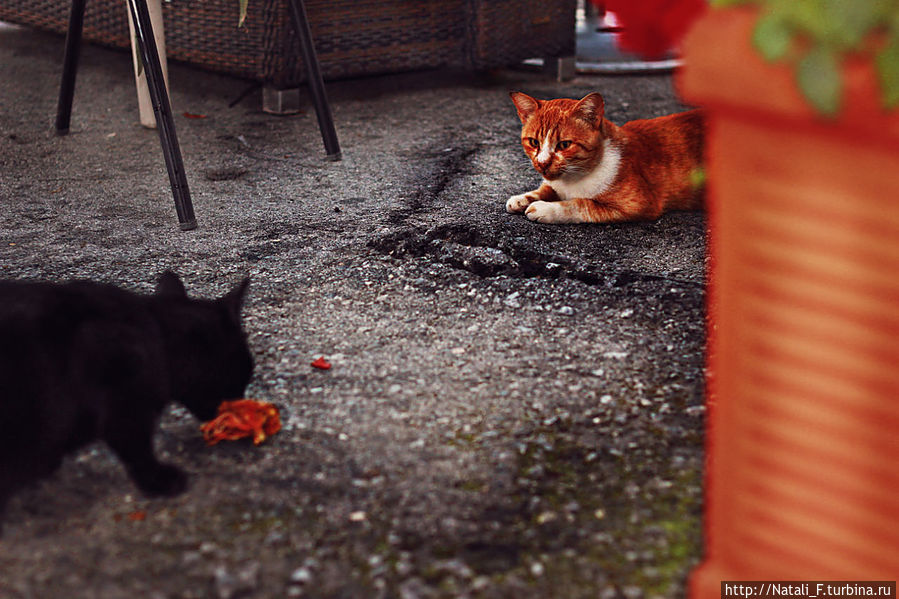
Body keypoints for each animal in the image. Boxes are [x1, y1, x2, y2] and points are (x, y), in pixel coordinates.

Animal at [0, 270, 255, 516]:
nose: (241, 404)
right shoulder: (125, 406)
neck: (157, 337)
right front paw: (160, 481)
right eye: (242, 375)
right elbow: (136, 448)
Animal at [506, 91, 704, 225]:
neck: (572, 180)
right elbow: (545, 188)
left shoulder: (638, 204)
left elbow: (581, 204)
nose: (542, 163)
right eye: (534, 142)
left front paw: (546, 208)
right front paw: (522, 199)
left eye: (564, 145)